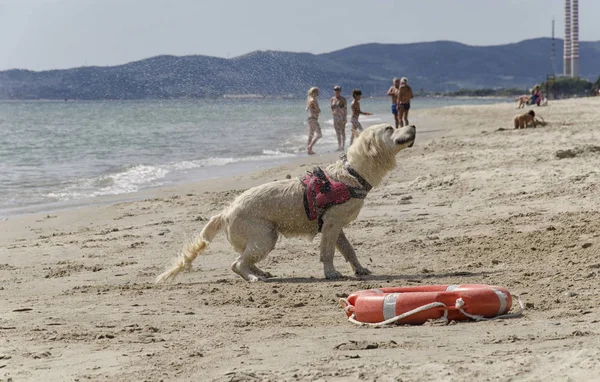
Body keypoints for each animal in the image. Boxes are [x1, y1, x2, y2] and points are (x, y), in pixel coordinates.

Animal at [156, 124, 418, 282]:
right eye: (390, 128)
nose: (413, 125)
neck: (352, 174)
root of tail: (225, 212)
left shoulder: (336, 226)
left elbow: (349, 250)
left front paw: (359, 269)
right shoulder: (332, 224)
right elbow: (328, 252)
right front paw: (331, 273)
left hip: (261, 239)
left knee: (244, 260)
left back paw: (261, 272)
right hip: (265, 236)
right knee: (236, 264)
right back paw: (253, 278)